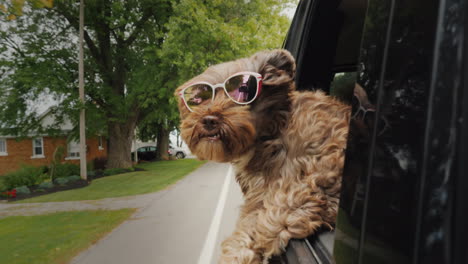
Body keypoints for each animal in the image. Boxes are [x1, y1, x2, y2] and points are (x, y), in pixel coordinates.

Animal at [174, 49, 350, 262]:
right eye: (200, 98)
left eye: (243, 90)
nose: (208, 120)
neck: (272, 132)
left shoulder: (326, 164)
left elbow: (277, 208)